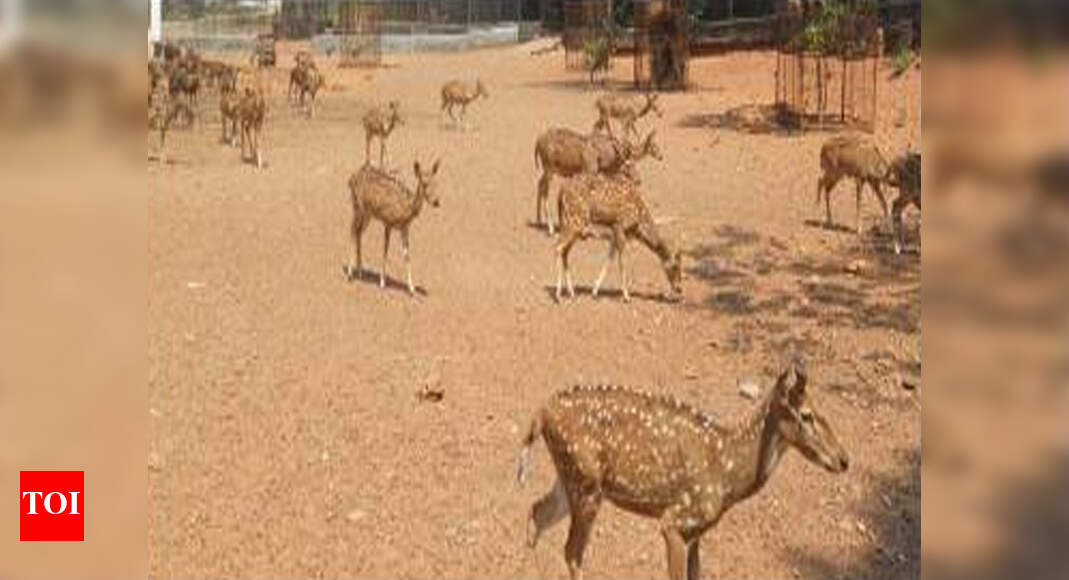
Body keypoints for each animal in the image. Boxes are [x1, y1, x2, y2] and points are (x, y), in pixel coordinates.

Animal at [344, 159, 442, 296]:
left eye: (436, 183)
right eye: (424, 183)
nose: (436, 202)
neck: (405, 210)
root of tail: (351, 179)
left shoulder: (405, 228)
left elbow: (407, 255)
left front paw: (411, 289)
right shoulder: (388, 222)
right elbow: (385, 250)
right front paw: (382, 283)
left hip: (368, 213)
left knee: (358, 233)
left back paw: (360, 272)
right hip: (357, 206)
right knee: (352, 231)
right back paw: (350, 274)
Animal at [515, 360, 849, 580]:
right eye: (806, 415)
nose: (844, 459)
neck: (727, 477)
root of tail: (541, 414)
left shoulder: (697, 532)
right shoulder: (674, 520)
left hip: (569, 479)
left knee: (537, 512)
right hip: (586, 487)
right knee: (571, 551)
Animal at [535, 128, 663, 235]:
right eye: (628, 165)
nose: (638, 180)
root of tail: (538, 141)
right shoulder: (589, 172)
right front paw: (588, 229)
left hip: (549, 171)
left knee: (540, 184)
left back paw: (539, 221)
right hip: (549, 169)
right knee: (544, 189)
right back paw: (550, 228)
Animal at [553, 171, 682, 302]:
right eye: (675, 266)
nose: (679, 288)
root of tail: (561, 192)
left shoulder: (614, 234)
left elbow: (609, 259)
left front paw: (594, 292)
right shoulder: (619, 226)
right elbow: (621, 262)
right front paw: (626, 296)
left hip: (573, 225)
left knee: (565, 251)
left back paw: (572, 293)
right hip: (573, 222)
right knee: (557, 246)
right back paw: (558, 296)